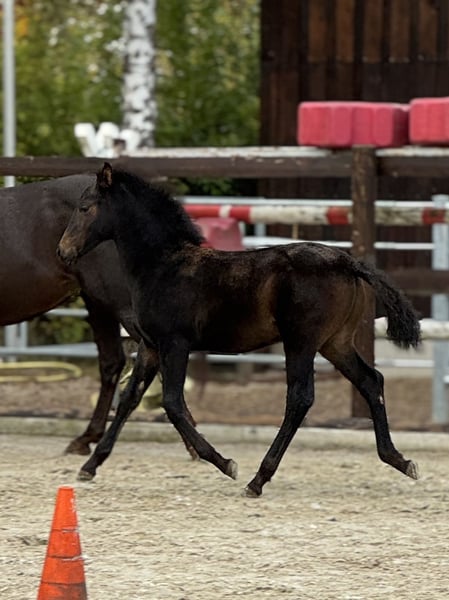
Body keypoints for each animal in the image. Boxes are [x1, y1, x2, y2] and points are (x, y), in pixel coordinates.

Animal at [57, 162, 421, 497]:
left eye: (85, 207)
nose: (63, 251)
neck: (164, 265)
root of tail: (347, 262)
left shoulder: (175, 343)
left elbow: (173, 403)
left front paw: (225, 463)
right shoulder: (150, 346)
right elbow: (130, 399)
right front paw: (90, 465)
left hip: (301, 342)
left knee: (300, 398)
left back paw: (258, 479)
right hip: (335, 343)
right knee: (370, 381)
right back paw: (400, 460)